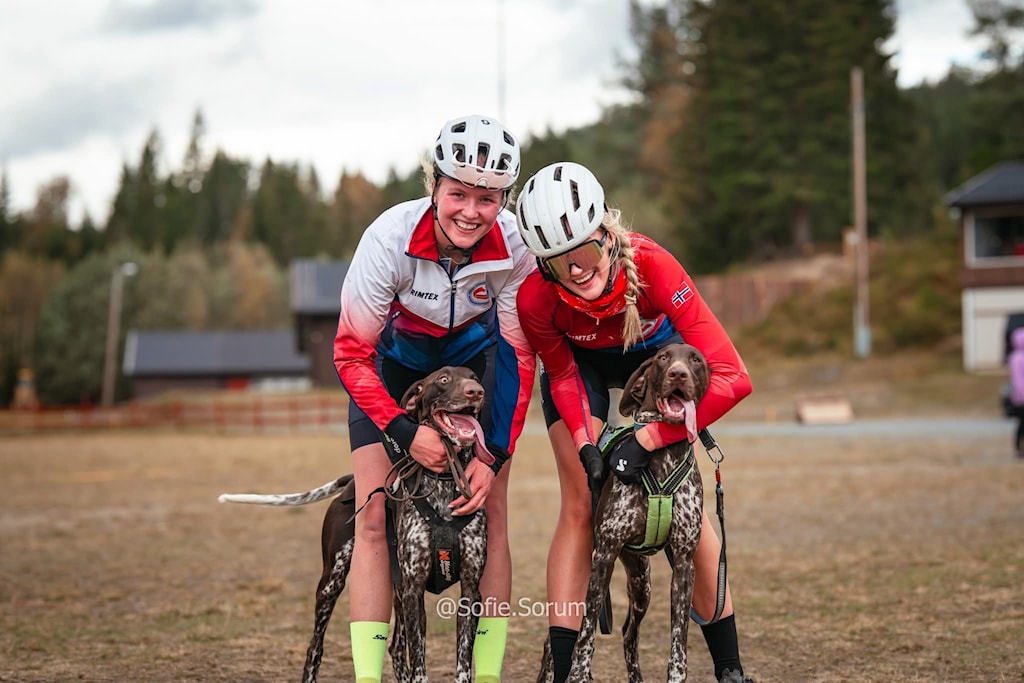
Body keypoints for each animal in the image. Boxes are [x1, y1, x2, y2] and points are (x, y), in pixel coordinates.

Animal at [219, 366, 492, 683]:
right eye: (444, 379)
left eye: (474, 377)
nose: (476, 392)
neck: (445, 479)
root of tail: (351, 483)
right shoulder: (413, 590)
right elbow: (419, 663)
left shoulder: (469, 591)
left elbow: (462, 663)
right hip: (333, 582)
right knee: (315, 647)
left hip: (395, 588)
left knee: (396, 648)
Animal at [538, 342, 710, 683]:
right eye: (663, 358)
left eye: (696, 360)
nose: (678, 374)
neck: (661, 456)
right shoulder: (603, 555)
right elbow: (586, 634)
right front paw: (578, 674)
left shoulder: (684, 564)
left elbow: (679, 639)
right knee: (557, 638)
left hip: (642, 583)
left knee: (630, 632)